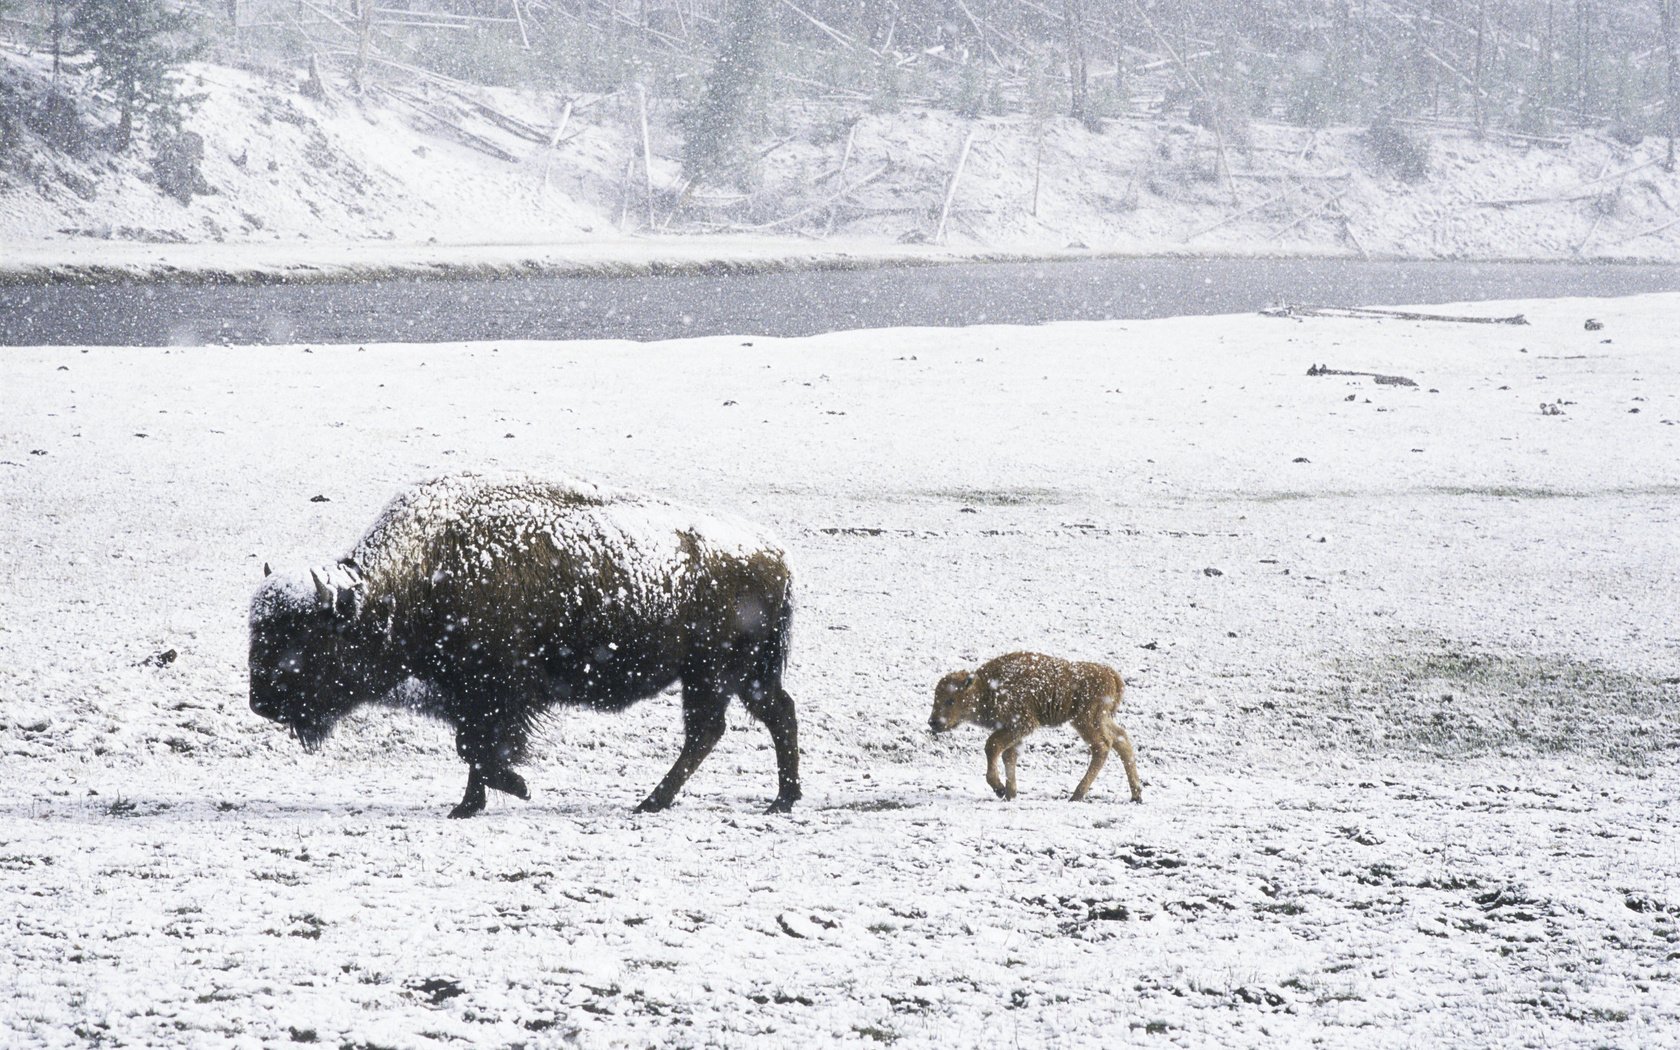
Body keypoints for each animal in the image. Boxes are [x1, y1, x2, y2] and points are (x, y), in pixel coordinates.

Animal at [248, 473, 799, 819]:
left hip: (714, 673)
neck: (413, 579)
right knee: (767, 716)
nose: (260, 703)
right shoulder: (470, 696)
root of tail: (775, 554)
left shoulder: (496, 692)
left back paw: (658, 802)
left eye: (304, 641)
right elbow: (472, 748)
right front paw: (467, 806)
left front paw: (517, 786)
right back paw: (777, 799)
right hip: (735, 675)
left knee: (715, 728)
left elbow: (479, 747)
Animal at [927, 651, 1149, 799]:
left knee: (1102, 746)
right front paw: (1010, 793)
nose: (933, 722)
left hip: (1085, 721)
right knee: (1121, 740)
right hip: (1100, 719)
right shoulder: (1014, 731)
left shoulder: (1021, 724)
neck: (986, 687)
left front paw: (999, 788)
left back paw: (1077, 795)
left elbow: (992, 746)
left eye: (950, 700)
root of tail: (1111, 675)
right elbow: (1009, 755)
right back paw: (1136, 794)